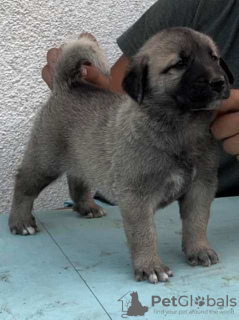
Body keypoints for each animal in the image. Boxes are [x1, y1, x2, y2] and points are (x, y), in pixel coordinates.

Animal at [8, 27, 233, 282]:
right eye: (180, 64)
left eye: (214, 58)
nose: (219, 82)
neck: (181, 127)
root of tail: (69, 85)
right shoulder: (137, 196)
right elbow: (144, 233)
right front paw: (150, 266)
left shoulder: (200, 187)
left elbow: (197, 221)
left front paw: (199, 249)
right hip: (45, 160)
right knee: (24, 184)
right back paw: (20, 221)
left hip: (82, 155)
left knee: (77, 178)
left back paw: (86, 206)